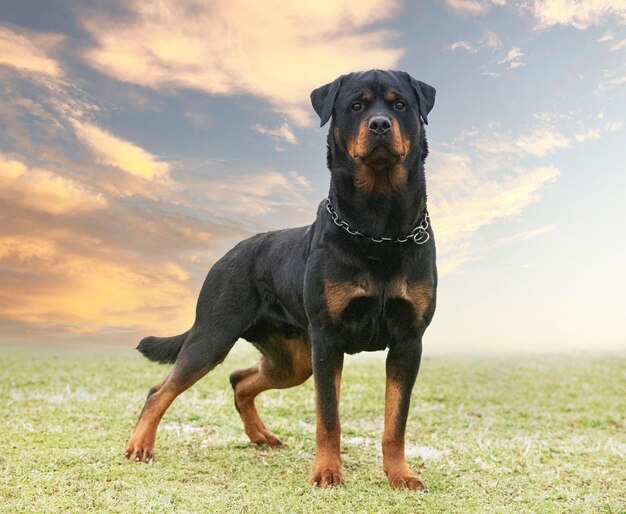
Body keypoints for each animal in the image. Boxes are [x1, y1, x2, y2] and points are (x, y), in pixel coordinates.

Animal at [124, 68, 436, 488]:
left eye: (399, 103)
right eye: (356, 105)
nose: (380, 124)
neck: (378, 228)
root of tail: (227, 256)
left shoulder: (407, 341)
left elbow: (396, 420)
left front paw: (400, 475)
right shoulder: (328, 339)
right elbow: (329, 417)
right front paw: (327, 472)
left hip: (292, 360)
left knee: (240, 380)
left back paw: (261, 436)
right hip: (213, 336)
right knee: (160, 390)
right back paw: (140, 445)